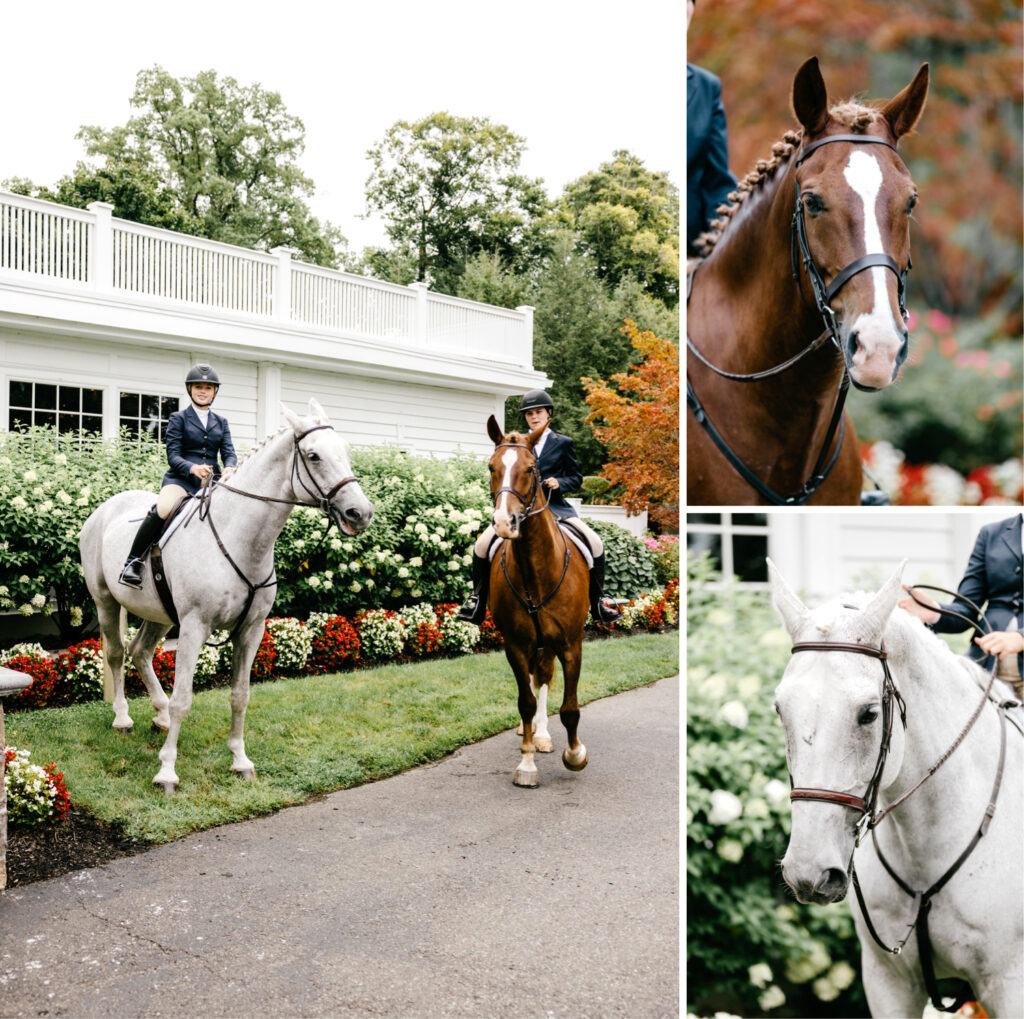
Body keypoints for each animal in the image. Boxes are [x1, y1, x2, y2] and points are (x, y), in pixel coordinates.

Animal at [79, 401, 374, 798]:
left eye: (345, 451)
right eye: (313, 455)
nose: (361, 513)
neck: (239, 538)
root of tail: (105, 508)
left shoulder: (251, 631)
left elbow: (240, 696)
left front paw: (240, 761)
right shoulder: (193, 628)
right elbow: (184, 699)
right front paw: (167, 772)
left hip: (159, 615)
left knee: (140, 652)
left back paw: (159, 714)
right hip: (106, 602)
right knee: (116, 653)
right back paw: (123, 717)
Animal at [481, 413, 589, 790]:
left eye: (531, 469)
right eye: (491, 467)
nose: (504, 522)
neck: (535, 569)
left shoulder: (571, 644)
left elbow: (569, 708)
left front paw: (575, 755)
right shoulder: (515, 643)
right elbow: (525, 702)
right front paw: (526, 763)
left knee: (543, 677)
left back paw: (543, 735)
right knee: (534, 679)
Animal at [770, 561, 1019, 1015]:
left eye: (869, 714)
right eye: (781, 709)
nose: (809, 873)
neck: (924, 850)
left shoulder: (1011, 984)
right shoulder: (888, 982)